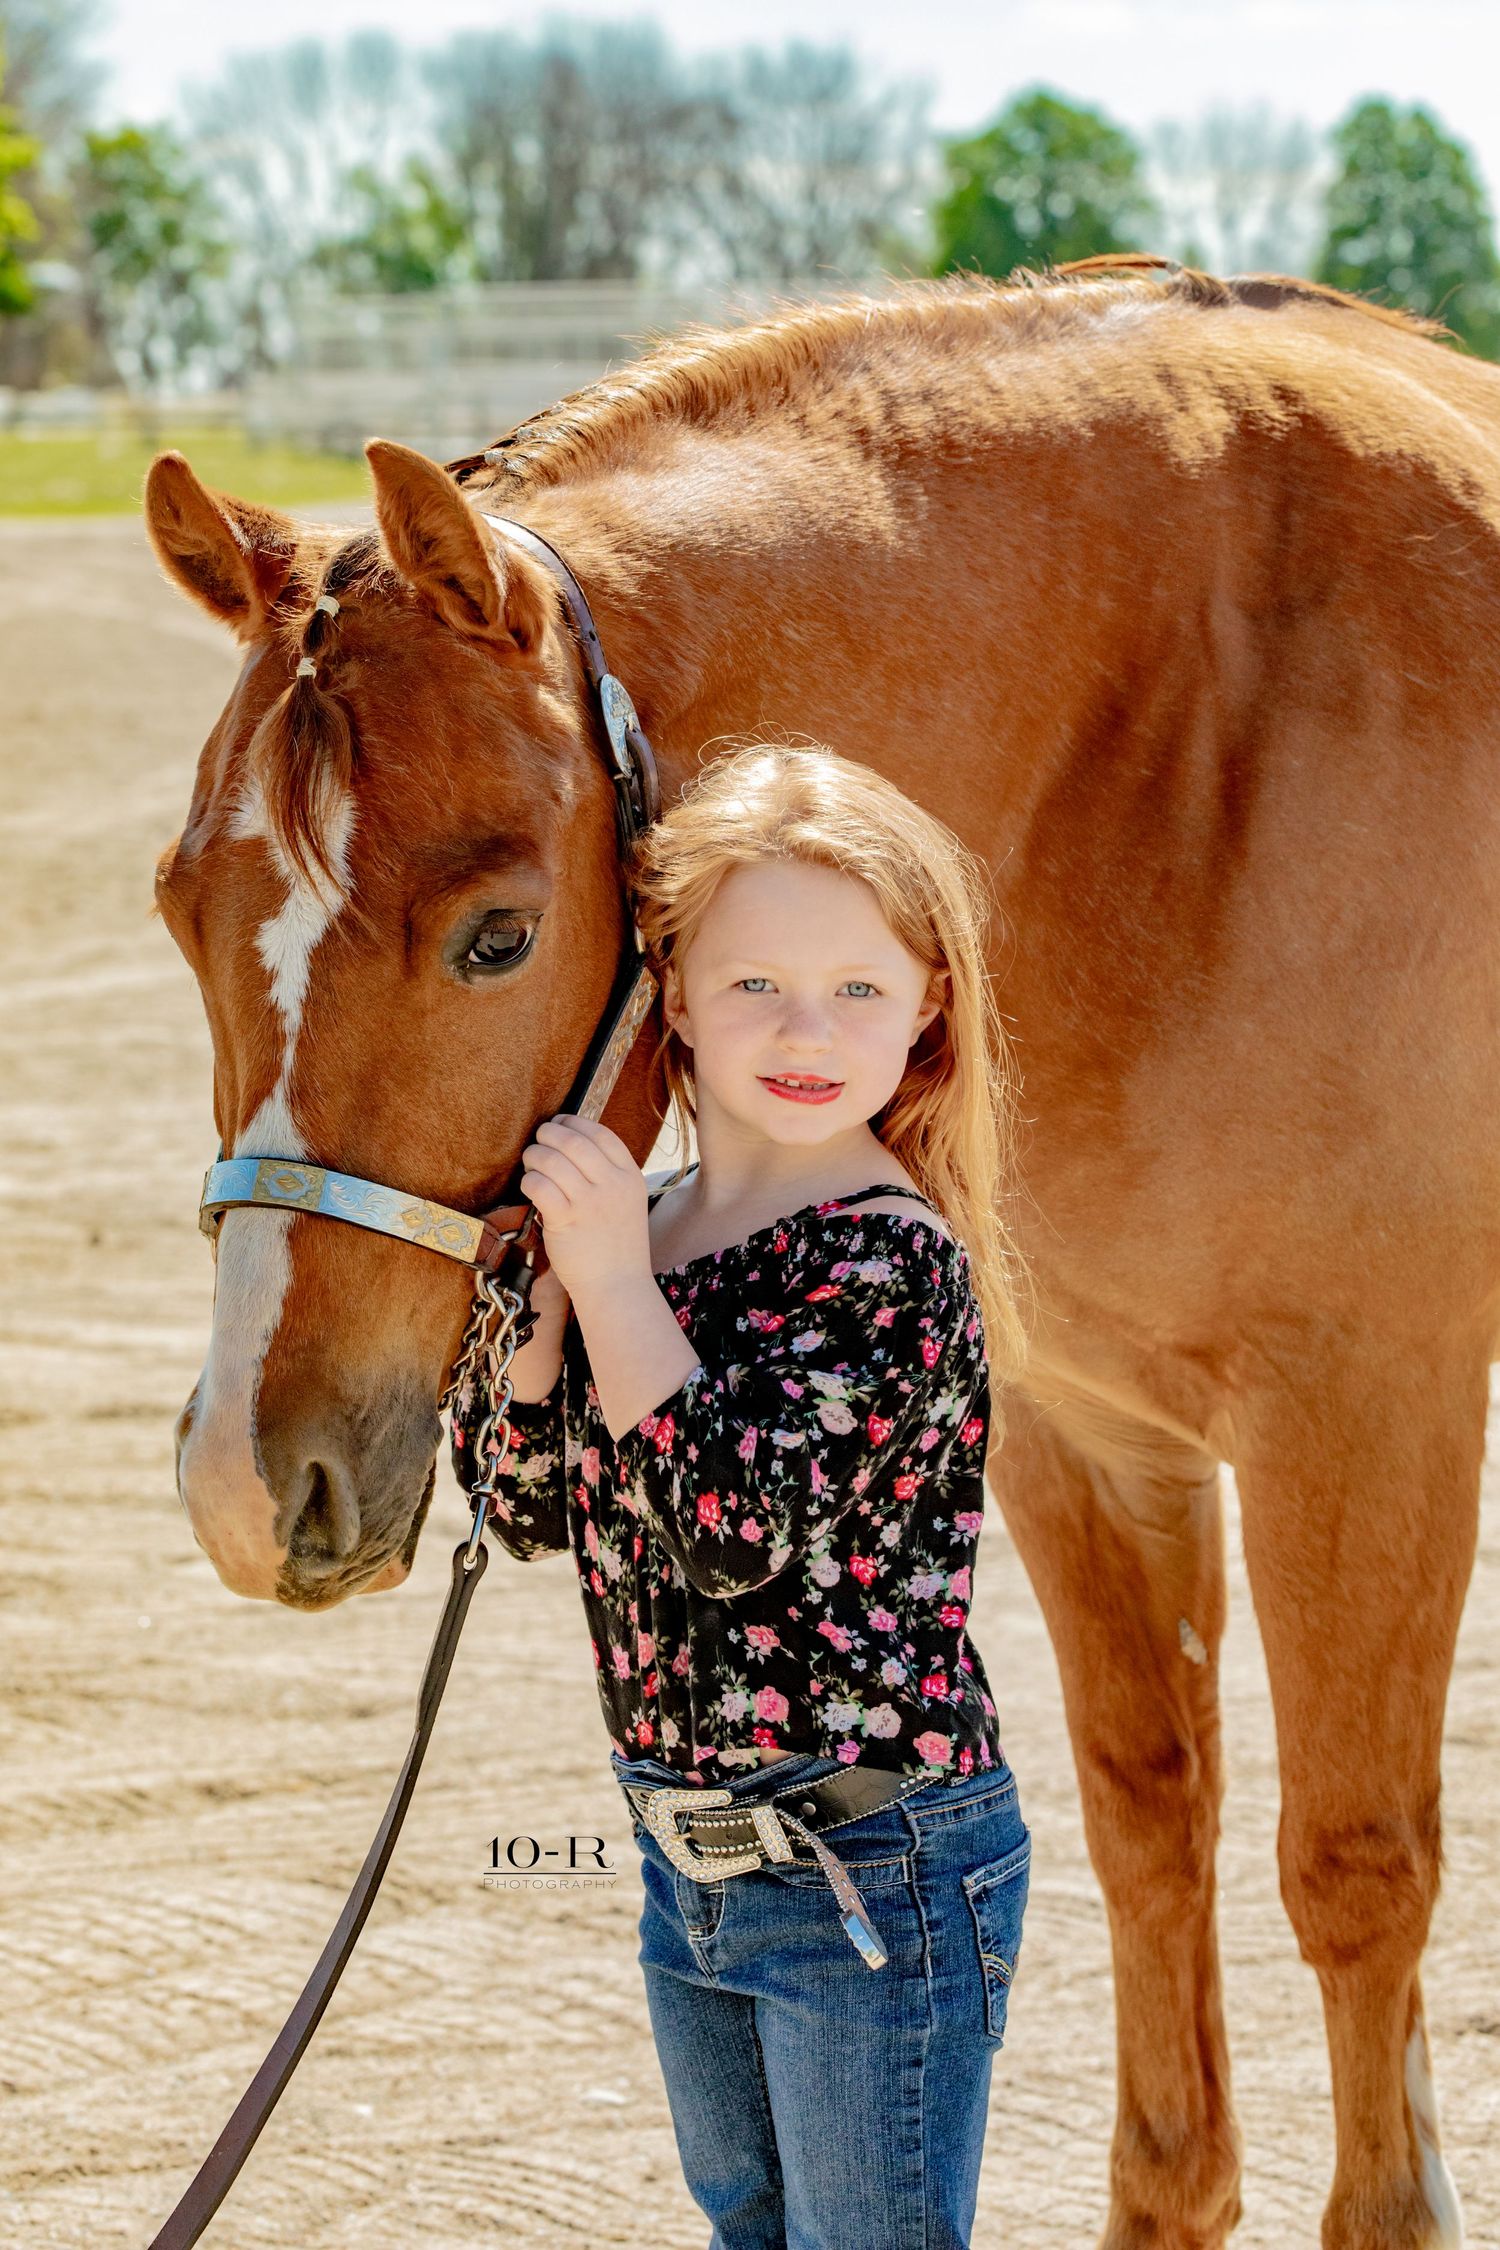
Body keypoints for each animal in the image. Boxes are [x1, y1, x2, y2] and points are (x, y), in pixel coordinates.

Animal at [145, 258, 1500, 2250]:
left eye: (497, 935)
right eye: (180, 909)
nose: (252, 1484)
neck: (1186, 757)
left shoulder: (1366, 1410)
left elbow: (1353, 1868)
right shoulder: (1090, 1432)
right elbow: (1146, 1817)